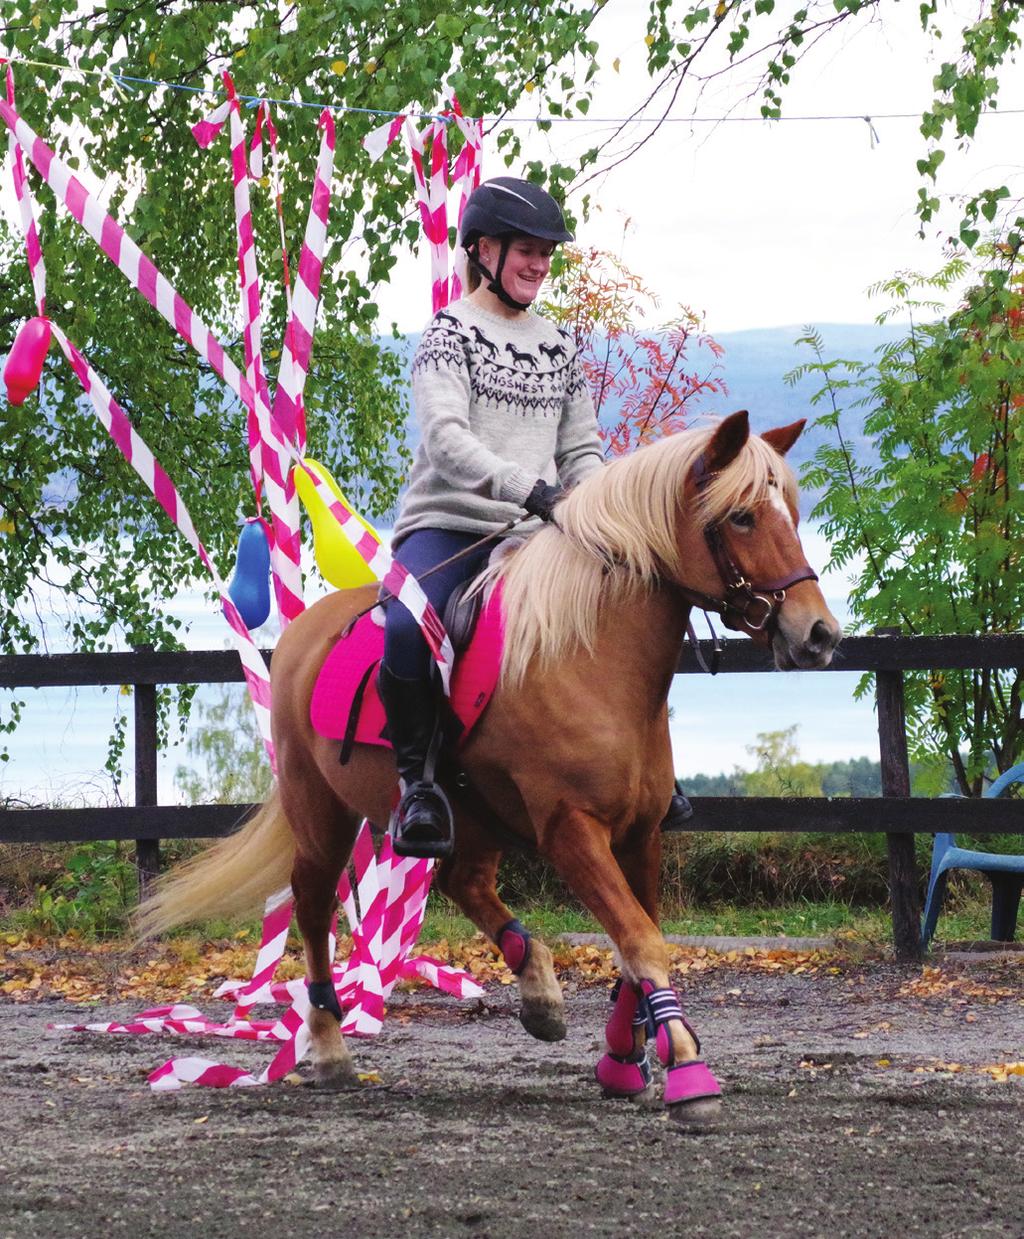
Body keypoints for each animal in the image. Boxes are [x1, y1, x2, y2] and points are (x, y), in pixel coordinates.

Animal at [141, 413, 838, 1125]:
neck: (591, 656)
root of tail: (301, 636)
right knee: (312, 906)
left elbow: (633, 943)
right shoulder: (571, 829)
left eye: (792, 513)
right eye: (743, 517)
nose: (818, 633)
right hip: (321, 812)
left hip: (473, 817)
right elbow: (641, 941)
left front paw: (623, 1058)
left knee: (462, 880)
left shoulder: (641, 832)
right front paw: (688, 1071)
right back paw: (332, 1049)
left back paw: (538, 989)